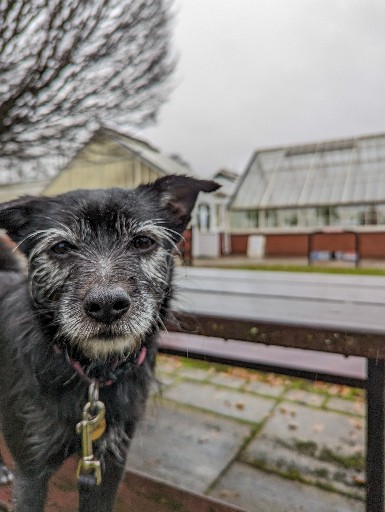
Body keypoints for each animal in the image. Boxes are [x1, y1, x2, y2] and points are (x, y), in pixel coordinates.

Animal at [0, 174, 218, 510]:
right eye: (61, 247)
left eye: (143, 241)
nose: (106, 305)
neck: (93, 373)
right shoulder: (30, 470)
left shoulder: (108, 465)